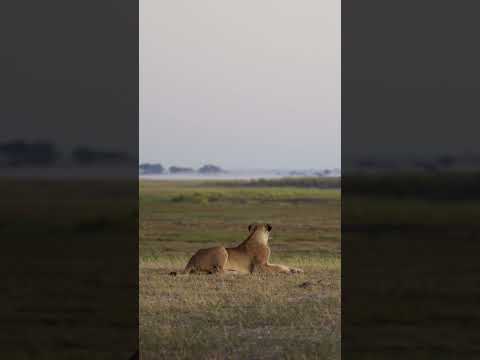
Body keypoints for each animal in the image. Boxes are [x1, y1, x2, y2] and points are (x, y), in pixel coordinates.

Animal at [171, 222, 302, 276]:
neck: (255, 235)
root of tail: (191, 259)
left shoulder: (267, 263)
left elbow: (281, 264)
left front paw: (296, 269)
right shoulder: (259, 267)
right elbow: (278, 267)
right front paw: (289, 271)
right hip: (221, 249)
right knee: (217, 271)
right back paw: (236, 272)